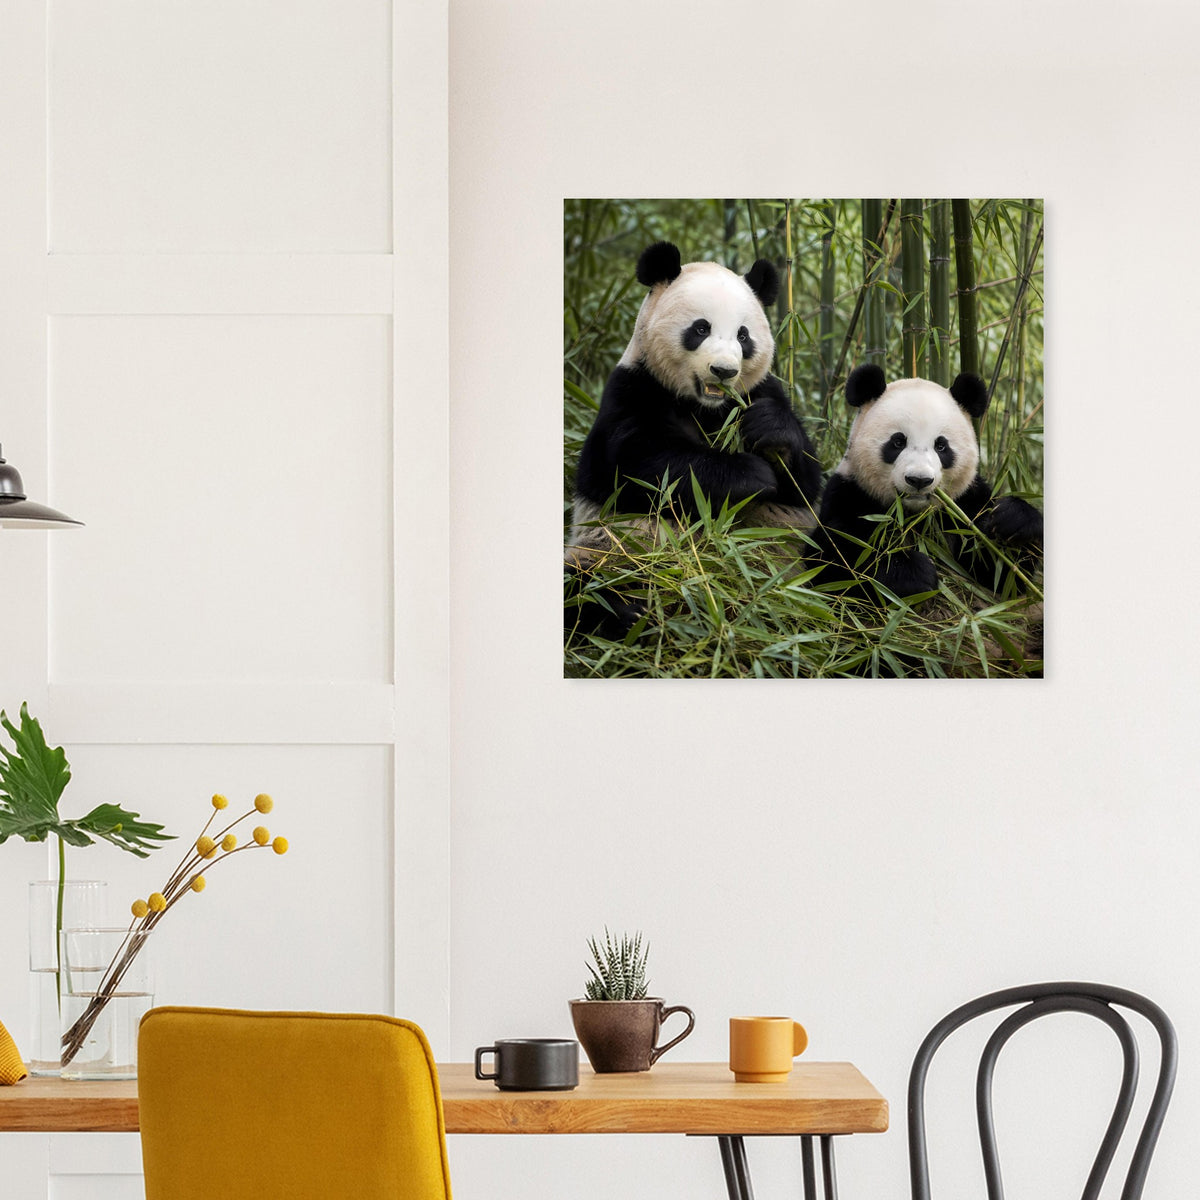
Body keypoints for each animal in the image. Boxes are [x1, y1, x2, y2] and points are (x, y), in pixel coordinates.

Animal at [569, 240, 822, 558]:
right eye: (701, 328)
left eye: (743, 336)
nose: (724, 371)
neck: (704, 407)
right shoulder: (633, 390)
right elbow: (643, 467)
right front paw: (753, 474)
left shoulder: (759, 390)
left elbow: (806, 484)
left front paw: (770, 429)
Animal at [817, 363, 1043, 599]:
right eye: (898, 442)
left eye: (941, 446)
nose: (919, 480)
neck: (914, 516)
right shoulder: (851, 494)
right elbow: (838, 560)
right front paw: (913, 572)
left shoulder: (965, 504)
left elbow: (1002, 574)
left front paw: (1014, 521)